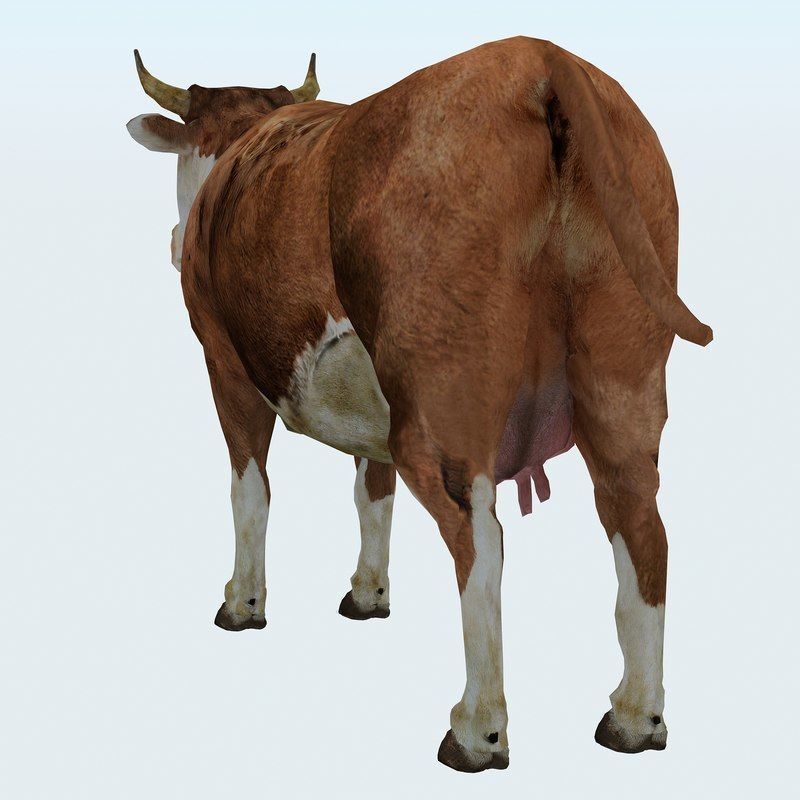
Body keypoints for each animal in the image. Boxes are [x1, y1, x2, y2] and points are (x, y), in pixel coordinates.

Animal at [127, 37, 711, 772]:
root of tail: (540, 59)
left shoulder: (224, 365)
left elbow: (250, 490)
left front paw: (243, 603)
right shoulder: (373, 408)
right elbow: (371, 492)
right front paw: (368, 593)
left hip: (441, 394)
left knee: (481, 541)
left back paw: (477, 730)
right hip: (620, 370)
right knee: (638, 523)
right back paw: (635, 717)